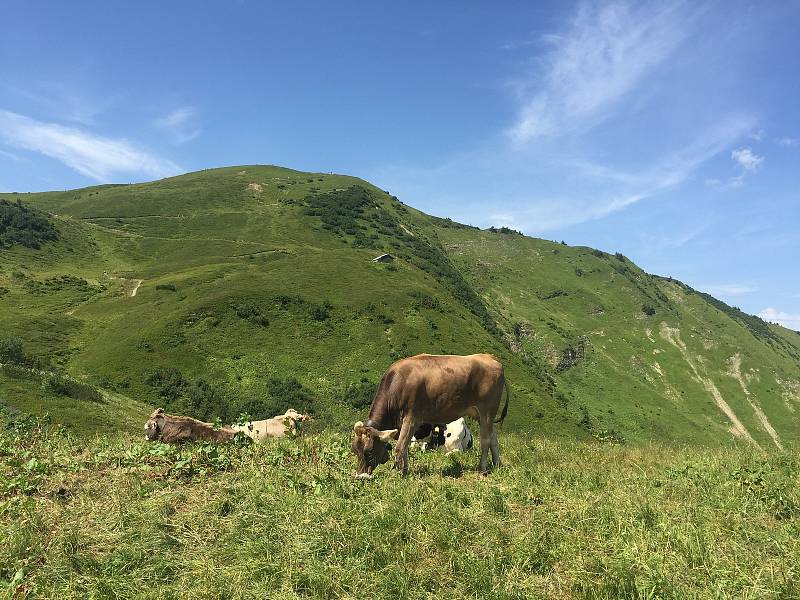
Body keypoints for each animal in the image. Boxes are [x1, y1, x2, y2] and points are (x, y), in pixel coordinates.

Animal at [352, 352, 512, 478]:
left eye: (369, 451)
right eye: (354, 450)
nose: (360, 477)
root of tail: (490, 357)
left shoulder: (412, 418)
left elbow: (400, 447)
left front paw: (397, 474)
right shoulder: (405, 422)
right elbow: (405, 447)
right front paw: (405, 471)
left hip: (486, 412)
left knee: (485, 441)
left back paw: (482, 469)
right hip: (485, 415)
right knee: (493, 438)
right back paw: (497, 465)